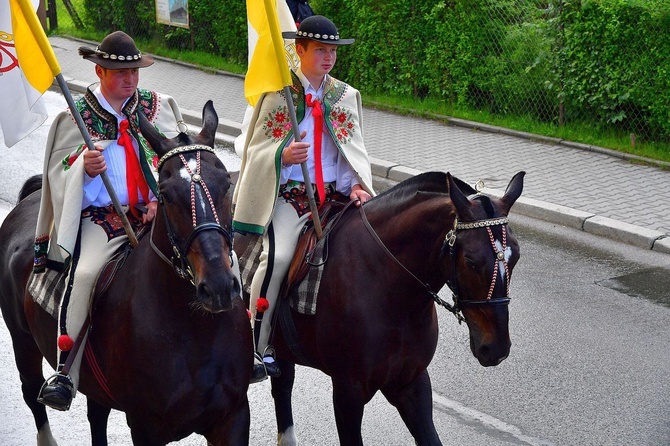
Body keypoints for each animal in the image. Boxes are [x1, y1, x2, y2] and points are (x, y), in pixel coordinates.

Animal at [0, 101, 255, 446]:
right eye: (166, 193)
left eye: (227, 184)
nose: (218, 287)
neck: (196, 332)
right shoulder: (146, 426)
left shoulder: (233, 417)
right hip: (23, 341)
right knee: (31, 392)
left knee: (96, 414)